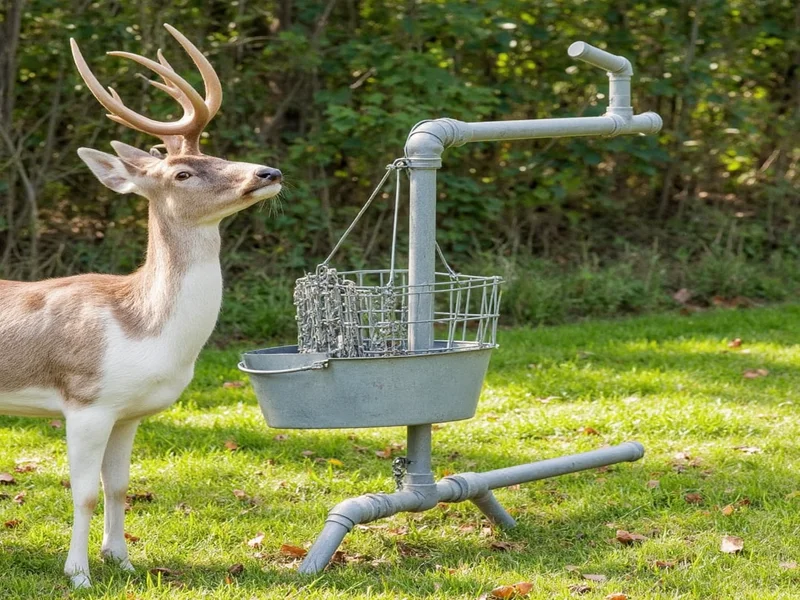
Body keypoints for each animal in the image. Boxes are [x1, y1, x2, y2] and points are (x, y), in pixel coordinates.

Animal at [0, 24, 282, 588]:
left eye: (217, 157)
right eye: (182, 175)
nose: (268, 172)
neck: (141, 328)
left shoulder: (128, 412)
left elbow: (119, 485)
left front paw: (122, 559)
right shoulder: (86, 399)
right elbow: (85, 492)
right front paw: (79, 574)